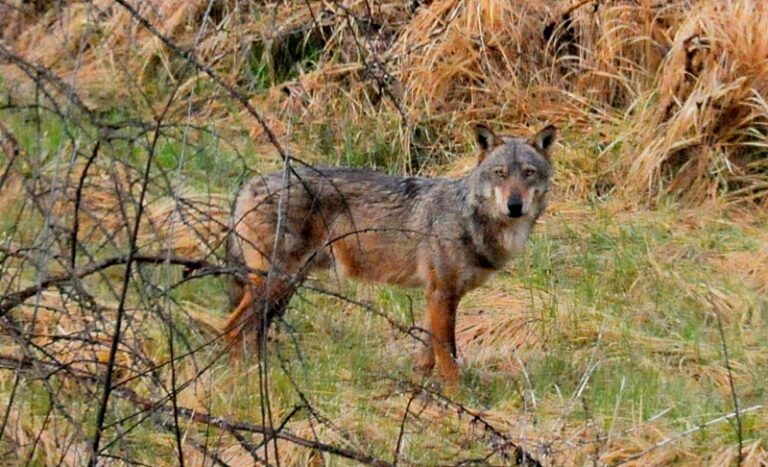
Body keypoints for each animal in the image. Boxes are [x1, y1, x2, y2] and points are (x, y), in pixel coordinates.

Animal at [225, 124, 556, 388]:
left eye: (528, 174)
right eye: (500, 174)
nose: (515, 206)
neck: (469, 217)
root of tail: (249, 184)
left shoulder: (436, 295)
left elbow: (427, 355)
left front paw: (421, 392)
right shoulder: (442, 294)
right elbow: (448, 355)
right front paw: (458, 398)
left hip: (287, 286)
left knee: (256, 329)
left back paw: (262, 375)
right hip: (276, 282)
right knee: (233, 327)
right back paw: (242, 383)